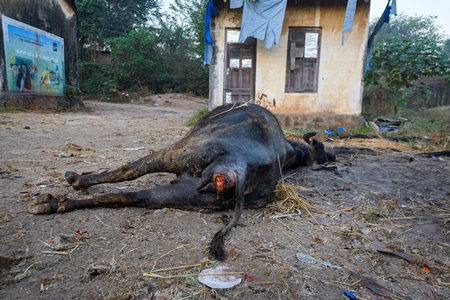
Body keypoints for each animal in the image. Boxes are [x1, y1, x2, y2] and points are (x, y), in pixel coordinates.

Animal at [28, 103, 334, 260]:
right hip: (184, 194)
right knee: (131, 196)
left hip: (177, 152)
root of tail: (238, 168)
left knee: (128, 171)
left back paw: (63, 191)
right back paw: (58, 203)